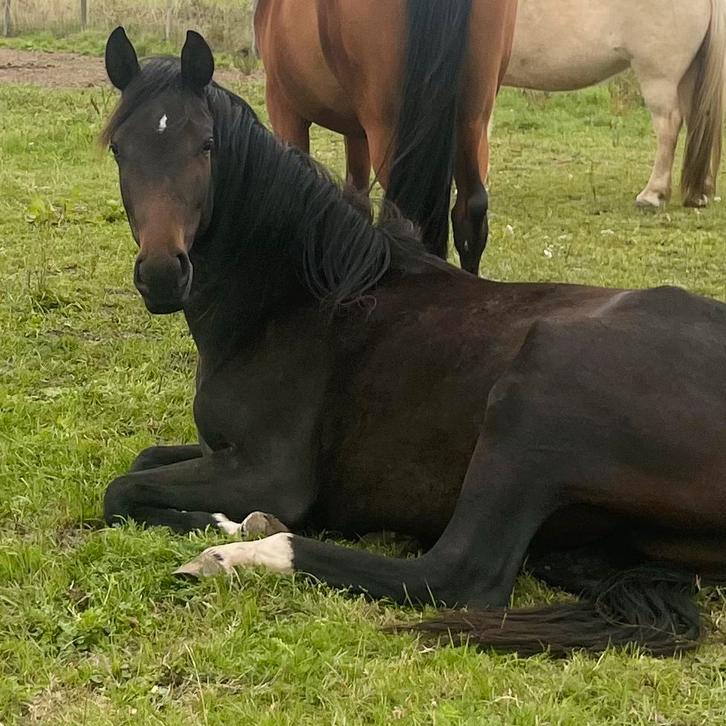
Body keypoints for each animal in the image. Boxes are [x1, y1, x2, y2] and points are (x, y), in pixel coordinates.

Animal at [102, 29, 726, 656]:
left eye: (206, 145)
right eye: (119, 150)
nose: (162, 274)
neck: (298, 300)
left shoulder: (268, 473)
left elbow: (122, 489)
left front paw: (249, 524)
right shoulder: (220, 451)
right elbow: (144, 461)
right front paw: (236, 518)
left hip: (533, 398)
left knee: (458, 574)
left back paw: (237, 554)